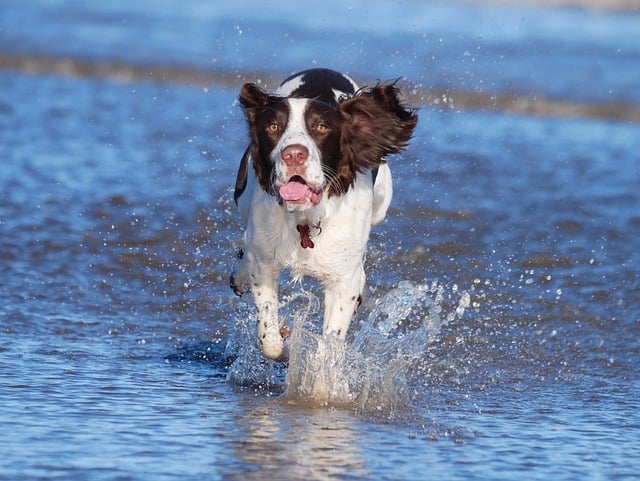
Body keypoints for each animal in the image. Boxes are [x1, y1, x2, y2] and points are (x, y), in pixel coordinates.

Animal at [229, 68, 416, 360]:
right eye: (273, 127)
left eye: (321, 127)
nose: (294, 155)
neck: (306, 217)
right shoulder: (264, 261)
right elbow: (270, 341)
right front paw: (286, 340)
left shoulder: (343, 280)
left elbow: (330, 344)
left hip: (382, 203)